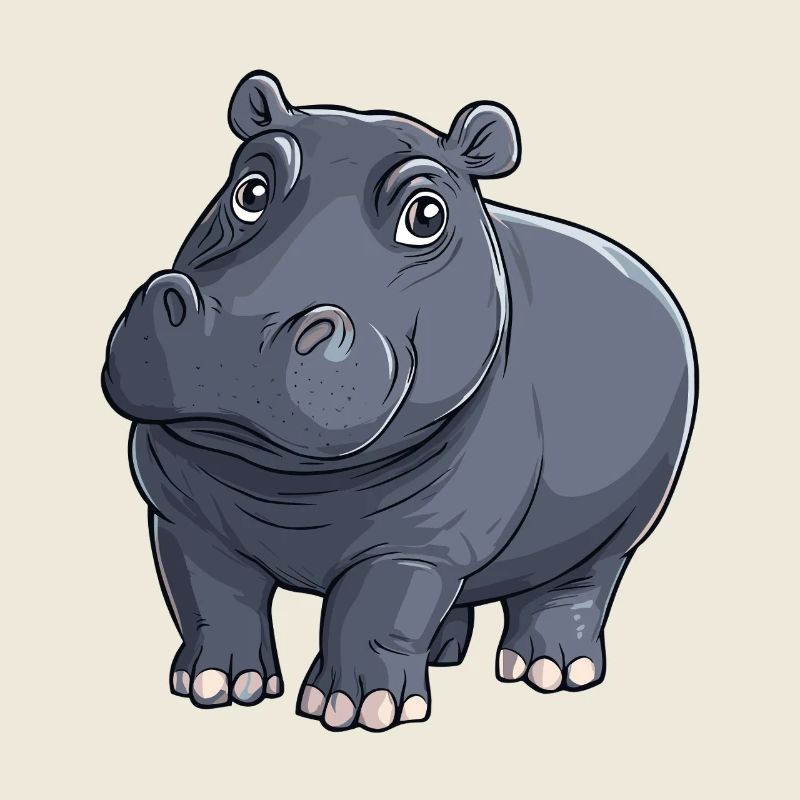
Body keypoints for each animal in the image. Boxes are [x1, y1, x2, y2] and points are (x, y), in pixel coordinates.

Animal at [101, 71, 697, 732]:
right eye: (251, 188)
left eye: (427, 213)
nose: (239, 325)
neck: (287, 487)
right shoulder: (182, 515)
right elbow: (210, 598)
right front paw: (215, 688)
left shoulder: (421, 541)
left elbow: (376, 611)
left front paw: (355, 710)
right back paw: (443, 655)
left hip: (618, 530)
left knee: (575, 586)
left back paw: (548, 672)